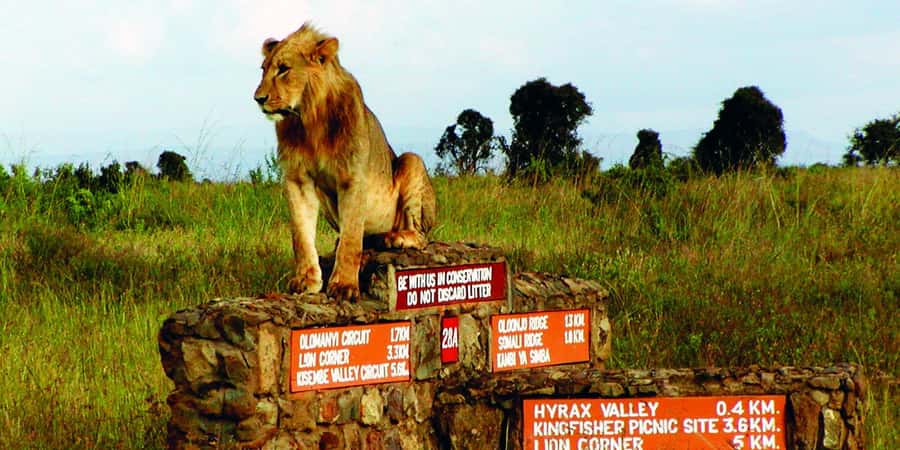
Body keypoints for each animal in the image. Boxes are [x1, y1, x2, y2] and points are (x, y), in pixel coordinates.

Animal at [253, 23, 436, 302]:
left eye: (283, 69)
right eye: (263, 70)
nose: (258, 98)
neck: (309, 118)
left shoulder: (352, 176)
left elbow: (351, 238)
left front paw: (344, 286)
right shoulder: (297, 178)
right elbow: (300, 235)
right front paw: (306, 281)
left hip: (411, 161)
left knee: (421, 236)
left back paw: (394, 238)